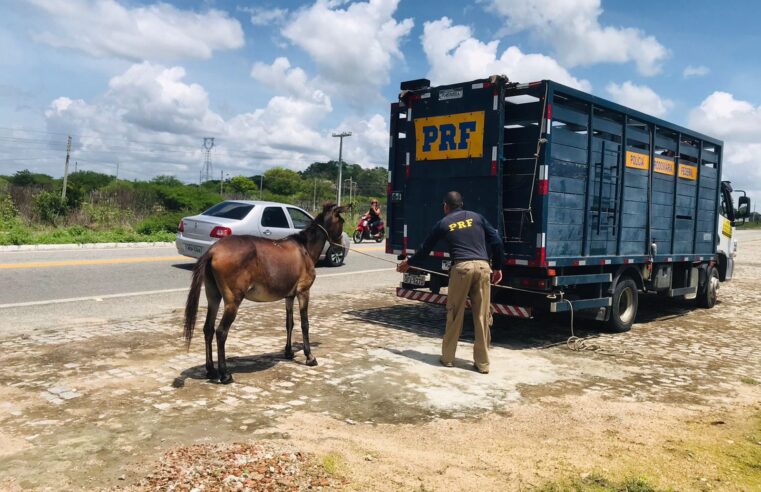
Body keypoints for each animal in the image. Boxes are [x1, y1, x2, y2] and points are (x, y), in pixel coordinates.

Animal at [183, 202, 348, 382]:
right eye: (342, 221)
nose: (340, 246)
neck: (304, 247)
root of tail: (213, 251)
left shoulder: (289, 296)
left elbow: (289, 323)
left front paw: (288, 352)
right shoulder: (303, 292)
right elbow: (305, 324)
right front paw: (309, 356)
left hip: (213, 296)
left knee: (208, 329)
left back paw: (211, 370)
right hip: (233, 301)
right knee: (221, 332)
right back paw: (225, 374)